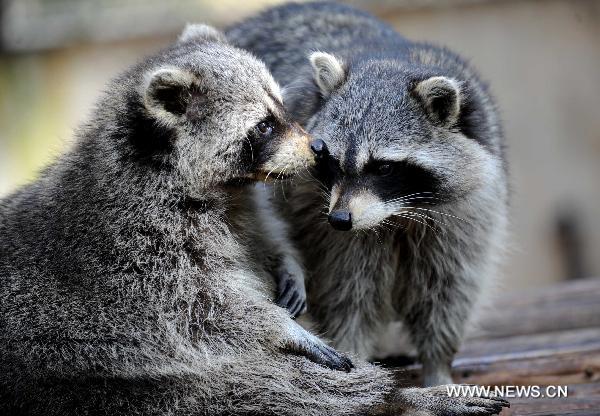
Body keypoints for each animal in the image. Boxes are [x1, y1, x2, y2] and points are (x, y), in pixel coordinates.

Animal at [0, 23, 510, 416]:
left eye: (283, 106)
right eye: (263, 126)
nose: (317, 148)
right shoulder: (140, 249)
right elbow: (209, 312)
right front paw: (283, 328)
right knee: (255, 389)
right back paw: (392, 398)